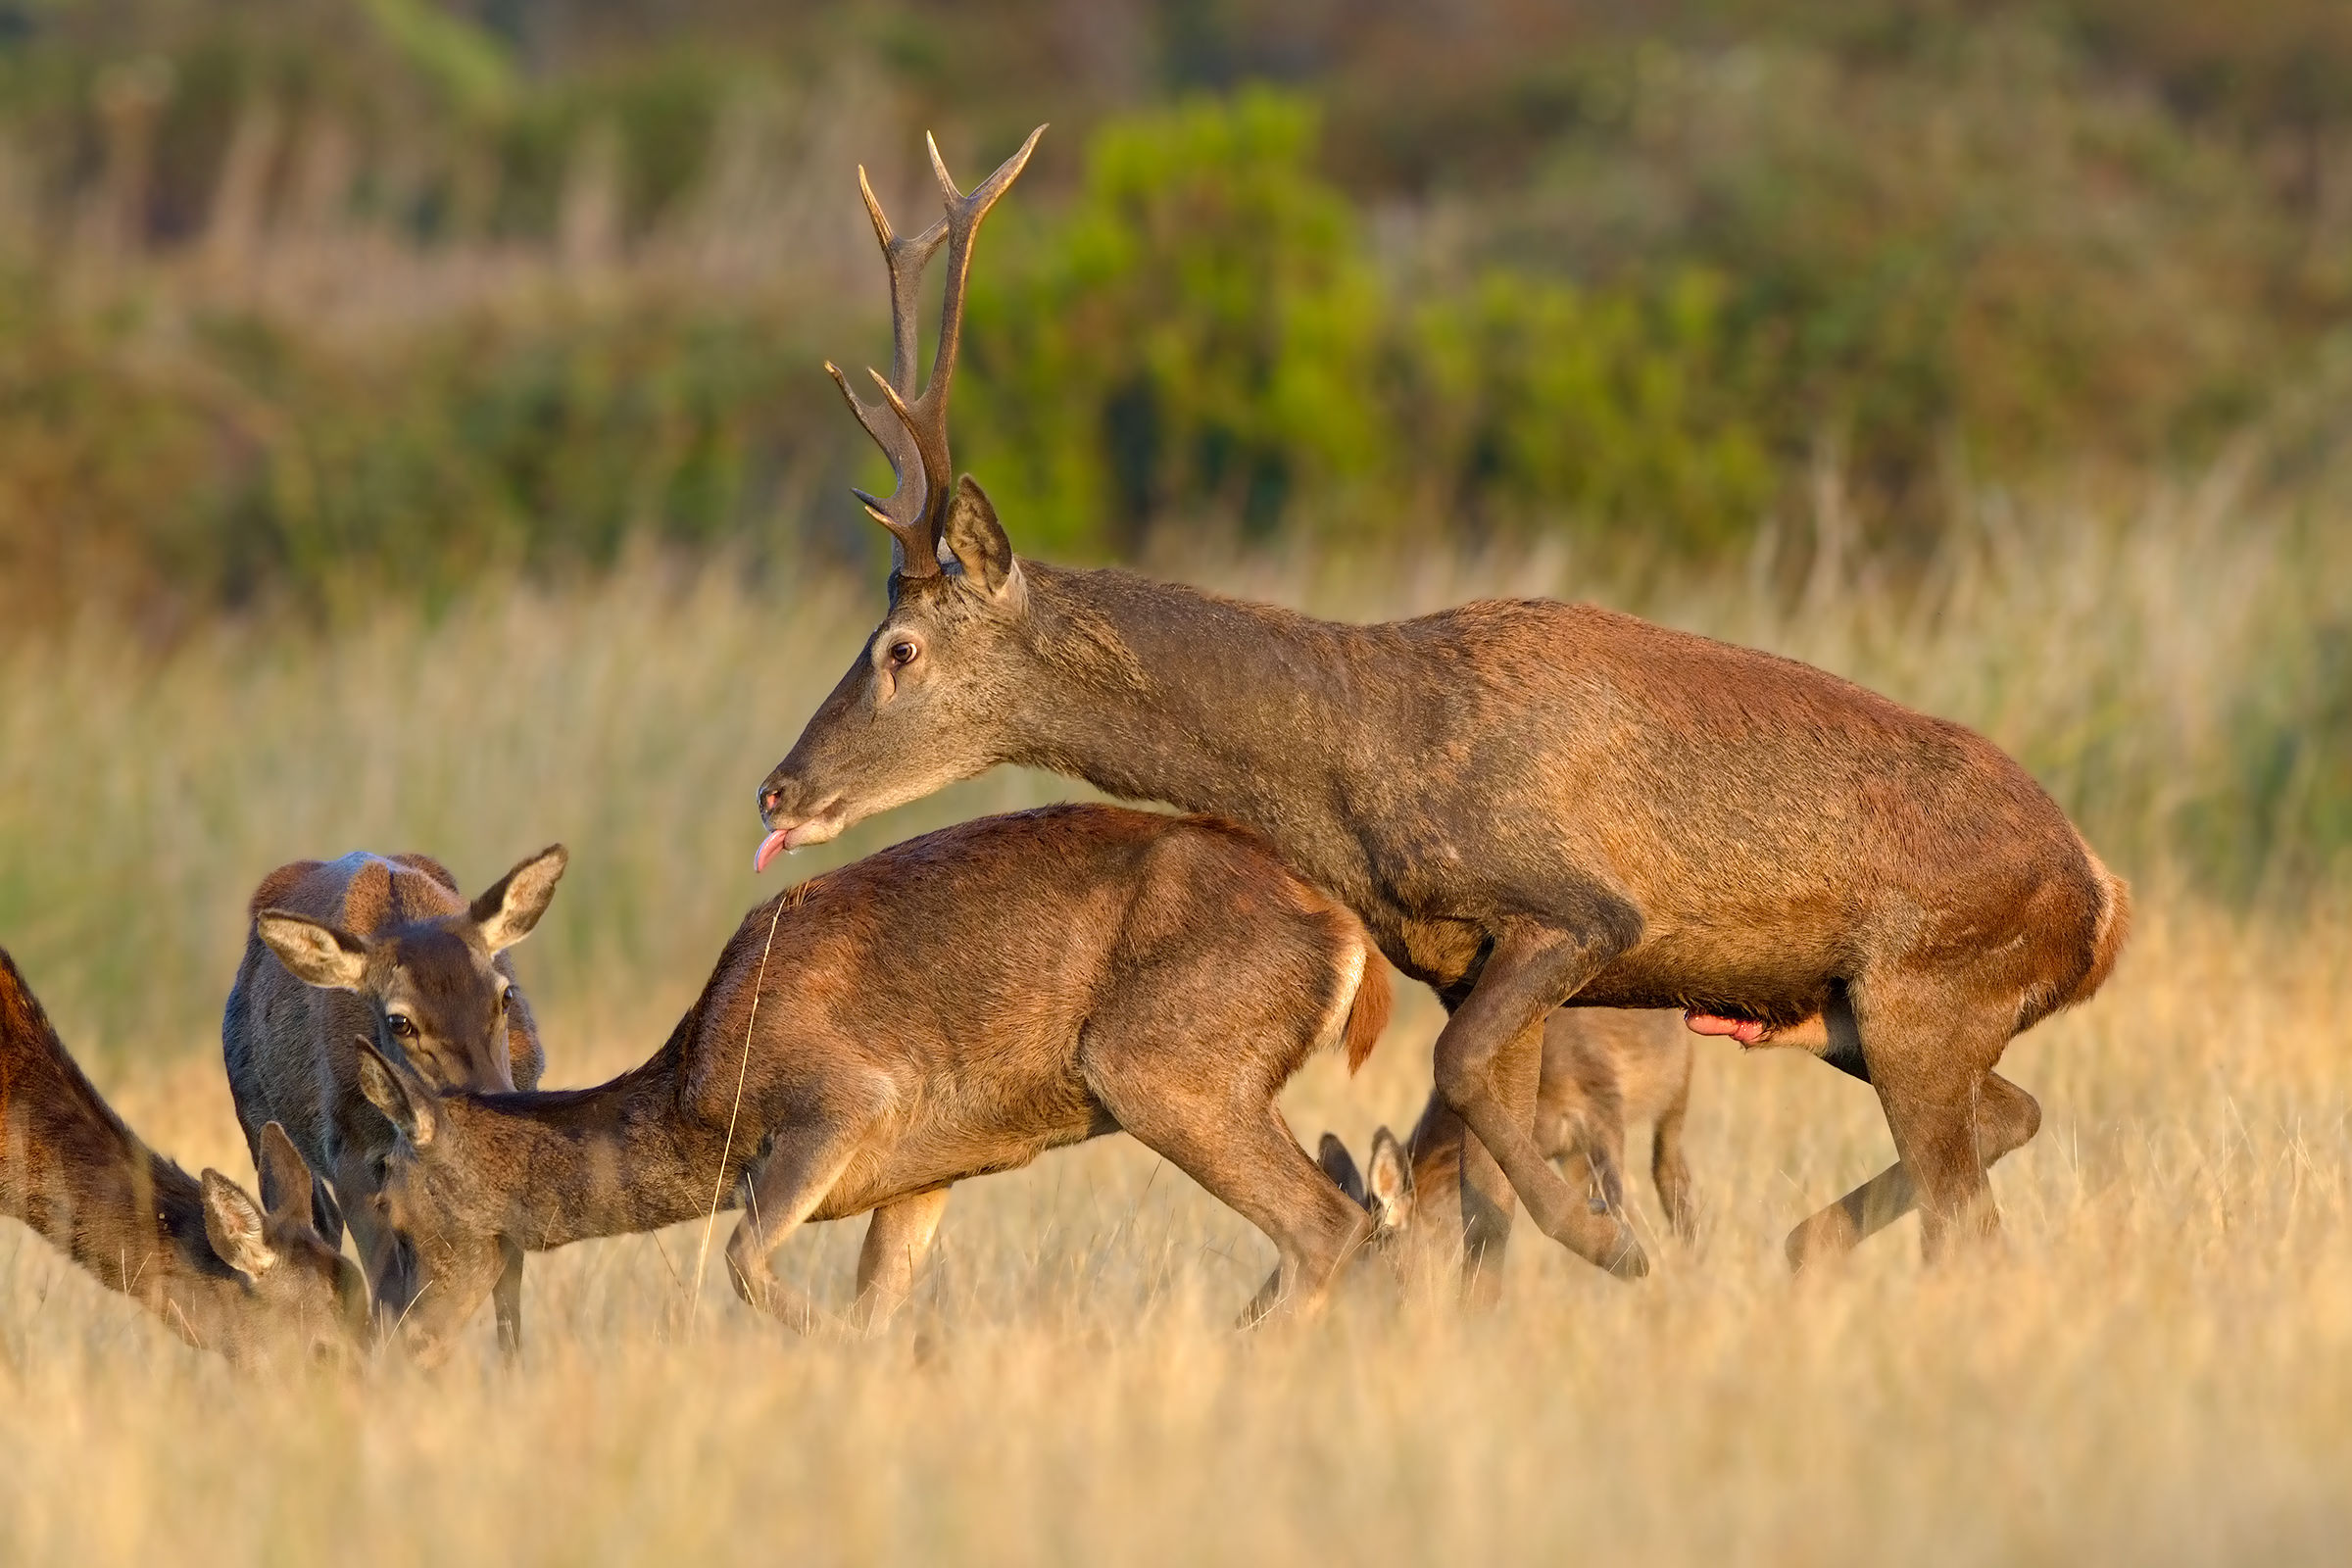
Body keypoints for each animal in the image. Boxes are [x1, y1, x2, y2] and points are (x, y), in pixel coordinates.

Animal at [222, 846, 566, 1358]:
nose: (492, 1103)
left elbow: (508, 1290)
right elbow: (387, 1287)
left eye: (504, 996)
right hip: (256, 1116)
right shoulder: (351, 1154)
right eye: (400, 1021)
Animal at [346, 804, 1390, 1363]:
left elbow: (745, 1261)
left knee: (1325, 1220)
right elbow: (874, 1297)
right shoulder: (924, 1176)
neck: (698, 1101)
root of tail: (1351, 944)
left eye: (388, 1199)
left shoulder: (846, 1102)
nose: (403, 1338)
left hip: (1159, 1069)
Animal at [750, 128, 2130, 1297]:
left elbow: (1459, 1078)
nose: (779, 786)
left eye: (899, 648)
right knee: (2008, 1123)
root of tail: (2102, 897)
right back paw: (1806, 1241)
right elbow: (1474, 1143)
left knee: (1972, 1211)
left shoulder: (1582, 907)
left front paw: (1612, 1245)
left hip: (1928, 983)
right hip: (1854, 1009)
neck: (1361, 762)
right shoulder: (1473, 951)